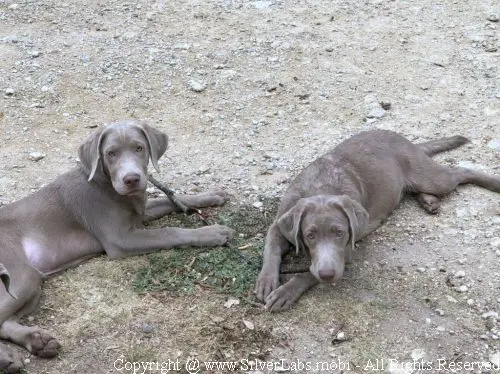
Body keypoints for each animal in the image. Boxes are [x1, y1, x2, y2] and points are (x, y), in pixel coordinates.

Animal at [0, 120, 233, 372]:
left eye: (140, 148)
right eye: (110, 153)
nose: (131, 179)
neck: (106, 183)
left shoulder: (141, 211)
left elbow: (172, 199)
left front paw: (210, 195)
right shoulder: (121, 240)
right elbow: (170, 231)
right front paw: (212, 233)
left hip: (30, 284)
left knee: (5, 322)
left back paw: (38, 342)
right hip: (22, 274)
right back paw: (7, 357)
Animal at [258, 130, 500, 312]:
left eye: (340, 233)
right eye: (310, 235)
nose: (328, 275)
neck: (320, 187)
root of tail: (407, 141)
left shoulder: (346, 250)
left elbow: (308, 273)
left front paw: (285, 292)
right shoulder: (279, 223)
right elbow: (271, 249)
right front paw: (266, 281)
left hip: (433, 178)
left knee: (459, 171)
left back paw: (492, 183)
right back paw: (428, 200)